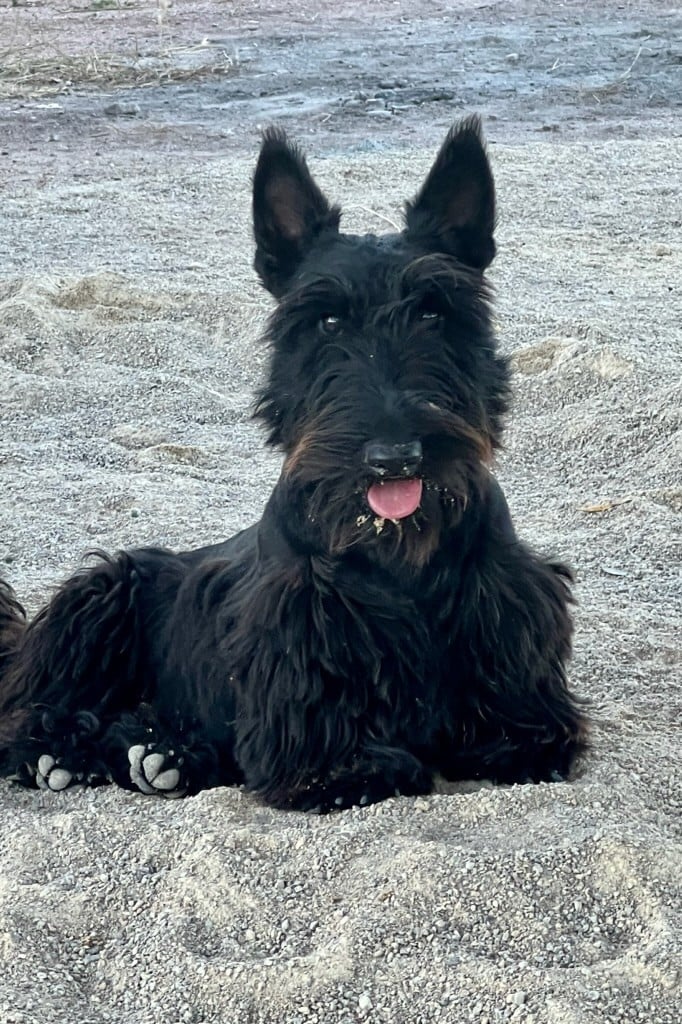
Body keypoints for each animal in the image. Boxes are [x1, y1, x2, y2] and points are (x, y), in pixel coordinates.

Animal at [0, 117, 585, 806]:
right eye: (327, 320)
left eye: (433, 312)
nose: (393, 457)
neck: (391, 546)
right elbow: (327, 754)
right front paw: (354, 766)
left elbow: (525, 734)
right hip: (102, 594)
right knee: (23, 708)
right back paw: (60, 750)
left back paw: (164, 752)